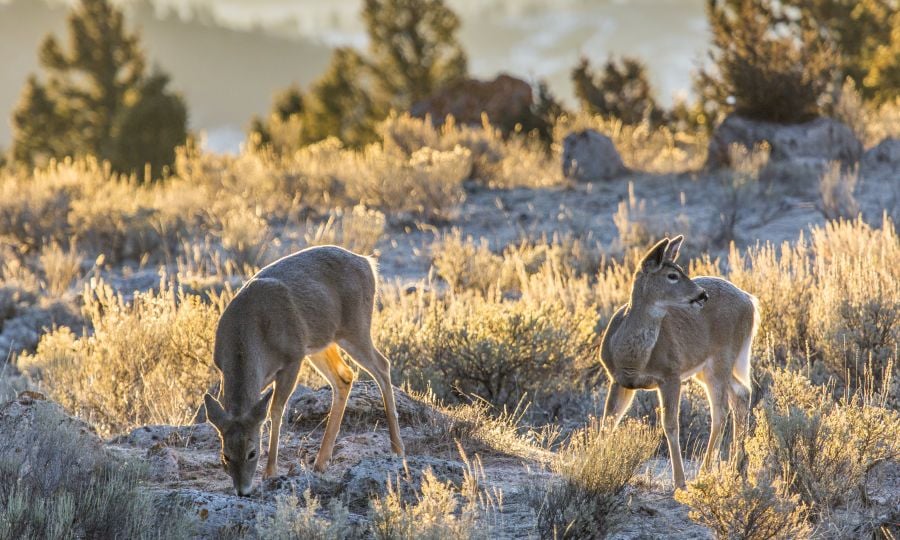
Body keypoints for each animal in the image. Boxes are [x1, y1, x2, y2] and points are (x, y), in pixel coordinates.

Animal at [202, 245, 405, 496]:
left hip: (355, 328)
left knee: (382, 366)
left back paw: (397, 448)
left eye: (252, 452)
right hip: (321, 342)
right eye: (225, 456)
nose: (243, 491)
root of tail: (367, 263)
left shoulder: (292, 359)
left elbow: (276, 410)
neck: (249, 334)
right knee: (345, 376)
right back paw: (321, 461)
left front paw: (270, 471)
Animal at [598, 235, 758, 489]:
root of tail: (750, 301)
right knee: (741, 393)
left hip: (722, 357)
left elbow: (671, 424)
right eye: (672, 275)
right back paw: (738, 468)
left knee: (721, 410)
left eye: (682, 270)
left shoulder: (671, 375)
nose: (702, 295)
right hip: (706, 367)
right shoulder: (618, 380)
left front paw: (680, 481)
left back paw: (705, 472)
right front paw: (592, 460)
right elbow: (609, 421)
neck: (631, 356)